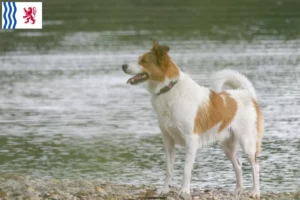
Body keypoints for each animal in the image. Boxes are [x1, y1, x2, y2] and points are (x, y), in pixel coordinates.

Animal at [120, 40, 264, 198]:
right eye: (139, 59)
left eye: (144, 61)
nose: (123, 66)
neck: (169, 88)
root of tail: (247, 94)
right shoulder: (168, 141)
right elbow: (169, 169)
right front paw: (165, 190)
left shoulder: (191, 141)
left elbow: (186, 170)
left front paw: (184, 191)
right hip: (228, 146)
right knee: (238, 166)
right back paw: (238, 190)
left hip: (248, 143)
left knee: (256, 167)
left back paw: (255, 192)